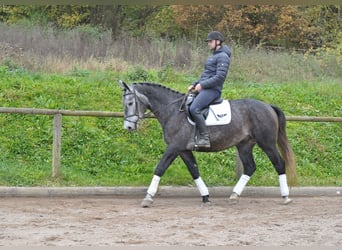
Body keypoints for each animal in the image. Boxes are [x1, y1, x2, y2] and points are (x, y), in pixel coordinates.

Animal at [118, 80, 296, 207]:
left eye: (130, 103)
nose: (128, 127)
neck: (173, 111)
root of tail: (268, 106)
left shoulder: (174, 147)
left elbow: (160, 168)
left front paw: (148, 197)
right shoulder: (183, 150)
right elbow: (194, 171)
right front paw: (205, 197)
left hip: (267, 143)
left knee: (279, 163)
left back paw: (285, 196)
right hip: (244, 145)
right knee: (250, 167)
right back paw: (234, 195)